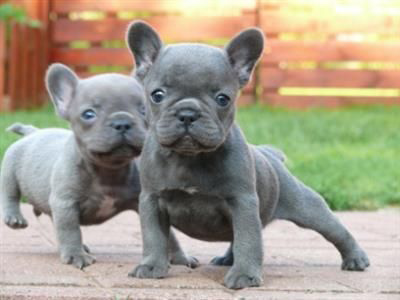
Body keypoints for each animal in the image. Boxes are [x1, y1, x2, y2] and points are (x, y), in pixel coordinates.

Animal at [0, 63, 195, 270]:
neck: (108, 170)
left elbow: (170, 236)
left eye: (144, 110)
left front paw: (180, 257)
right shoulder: (65, 203)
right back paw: (14, 218)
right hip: (10, 168)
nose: (122, 122)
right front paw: (76, 255)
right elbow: (70, 230)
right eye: (88, 114)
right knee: (10, 193)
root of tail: (33, 131)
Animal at [126, 21, 370, 288]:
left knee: (335, 230)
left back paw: (356, 258)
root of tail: (270, 154)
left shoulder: (242, 202)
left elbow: (248, 240)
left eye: (223, 99)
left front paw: (244, 275)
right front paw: (151, 265)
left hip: (307, 206)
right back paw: (226, 259)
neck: (189, 157)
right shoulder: (152, 201)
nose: (188, 113)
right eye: (157, 95)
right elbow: (154, 237)